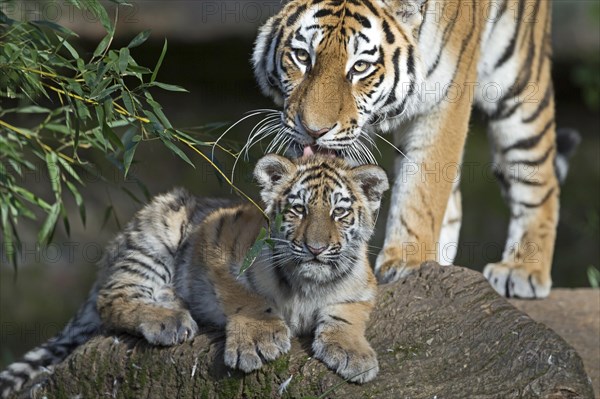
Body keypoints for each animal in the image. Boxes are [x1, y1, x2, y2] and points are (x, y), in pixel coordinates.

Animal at [252, 0, 576, 298]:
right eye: (302, 56)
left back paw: (522, 269)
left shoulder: (445, 99)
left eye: (360, 67)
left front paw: (408, 261)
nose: (314, 130)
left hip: (518, 79)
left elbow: (423, 189)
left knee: (539, 175)